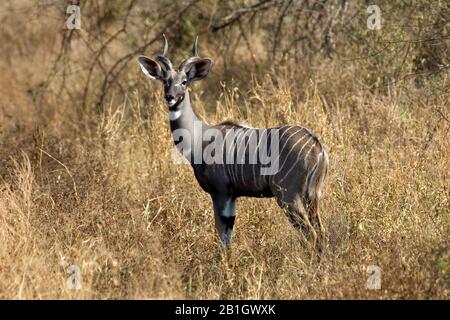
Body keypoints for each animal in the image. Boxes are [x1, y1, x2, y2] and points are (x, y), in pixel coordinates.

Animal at [137, 35, 326, 250]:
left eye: (184, 82)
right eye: (165, 80)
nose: (170, 97)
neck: (199, 137)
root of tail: (317, 147)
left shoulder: (220, 193)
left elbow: (222, 238)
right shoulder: (232, 196)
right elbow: (227, 239)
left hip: (288, 196)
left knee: (312, 234)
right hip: (312, 197)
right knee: (321, 232)